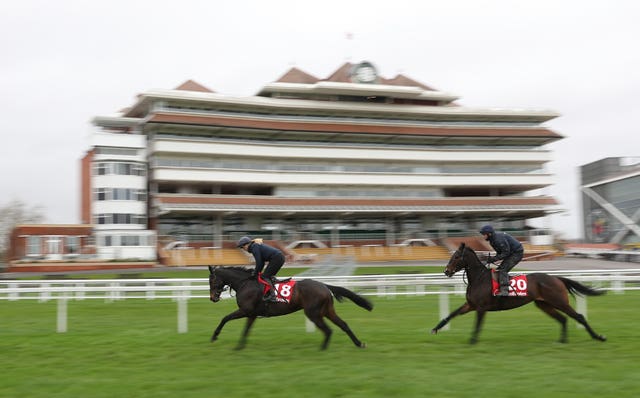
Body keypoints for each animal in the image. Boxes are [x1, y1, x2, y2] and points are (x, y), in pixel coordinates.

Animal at [208, 266, 372, 350]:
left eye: (212, 281)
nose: (213, 298)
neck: (245, 283)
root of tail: (324, 285)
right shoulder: (252, 314)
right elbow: (246, 330)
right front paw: (239, 347)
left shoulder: (245, 311)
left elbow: (225, 318)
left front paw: (214, 336)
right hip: (327, 310)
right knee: (343, 325)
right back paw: (359, 343)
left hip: (313, 313)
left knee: (328, 330)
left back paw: (322, 349)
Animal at [430, 244, 604, 344]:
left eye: (456, 256)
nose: (446, 271)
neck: (479, 279)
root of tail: (556, 278)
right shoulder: (471, 305)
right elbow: (452, 314)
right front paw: (436, 328)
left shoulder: (481, 307)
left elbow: (478, 324)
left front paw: (472, 340)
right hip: (544, 304)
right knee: (562, 319)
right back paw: (562, 340)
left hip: (559, 301)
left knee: (579, 317)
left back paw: (598, 337)